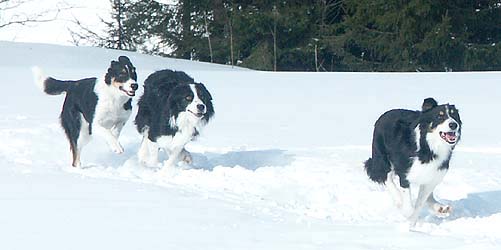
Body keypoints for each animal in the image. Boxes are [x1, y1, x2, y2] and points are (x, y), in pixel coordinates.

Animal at [364, 97, 460, 225]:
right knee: (386, 176)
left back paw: (440, 207)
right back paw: (399, 200)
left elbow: (421, 201)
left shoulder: (433, 175)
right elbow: (409, 200)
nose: (453, 124)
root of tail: (385, 114)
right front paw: (408, 214)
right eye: (440, 116)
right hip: (382, 157)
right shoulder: (405, 173)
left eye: (454, 116)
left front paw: (413, 221)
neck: (429, 147)